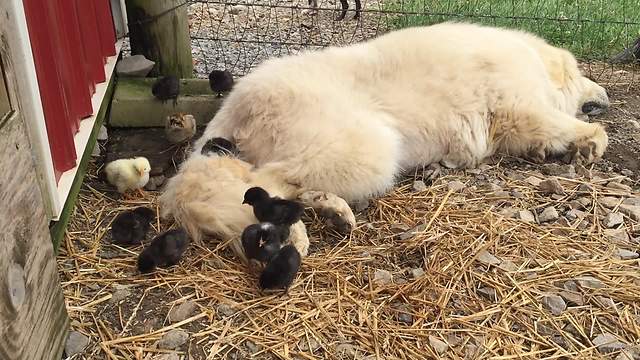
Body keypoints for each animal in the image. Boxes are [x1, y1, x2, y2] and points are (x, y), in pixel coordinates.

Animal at [160, 21, 608, 258]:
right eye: (580, 73)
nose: (604, 95)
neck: (533, 62)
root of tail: (239, 99)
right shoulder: (521, 111)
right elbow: (564, 126)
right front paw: (590, 139)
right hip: (368, 147)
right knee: (262, 185)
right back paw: (297, 234)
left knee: (281, 188)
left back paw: (332, 213)